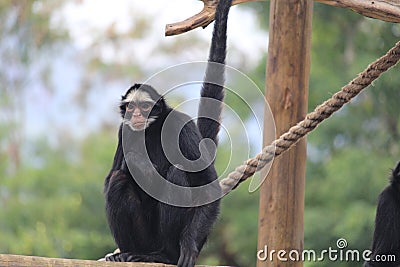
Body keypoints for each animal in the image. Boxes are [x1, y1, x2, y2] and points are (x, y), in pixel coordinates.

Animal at [103, 0, 233, 267]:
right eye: (130, 107)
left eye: (144, 107)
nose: (137, 115)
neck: (152, 129)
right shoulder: (124, 130)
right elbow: (112, 175)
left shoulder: (181, 125)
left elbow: (208, 189)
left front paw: (188, 247)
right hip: (145, 237)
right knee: (118, 180)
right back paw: (128, 252)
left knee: (178, 173)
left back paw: (166, 254)